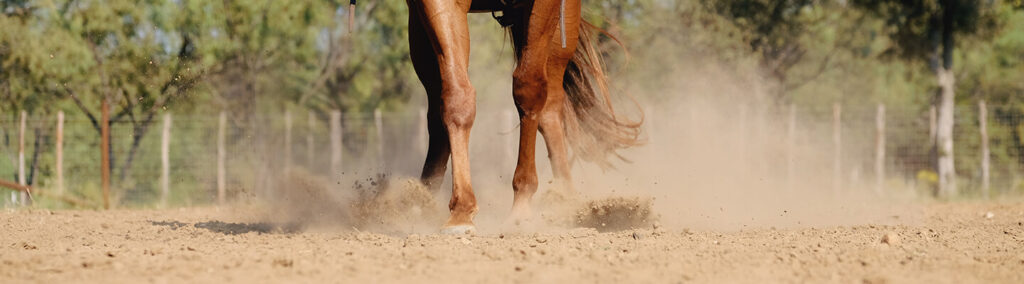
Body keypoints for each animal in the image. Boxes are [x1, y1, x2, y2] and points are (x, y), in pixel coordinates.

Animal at [405, 0, 638, 231]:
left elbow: (528, 89)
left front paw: (522, 207)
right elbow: (457, 97)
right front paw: (461, 211)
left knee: (551, 105)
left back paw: (565, 202)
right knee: (437, 101)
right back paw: (422, 200)